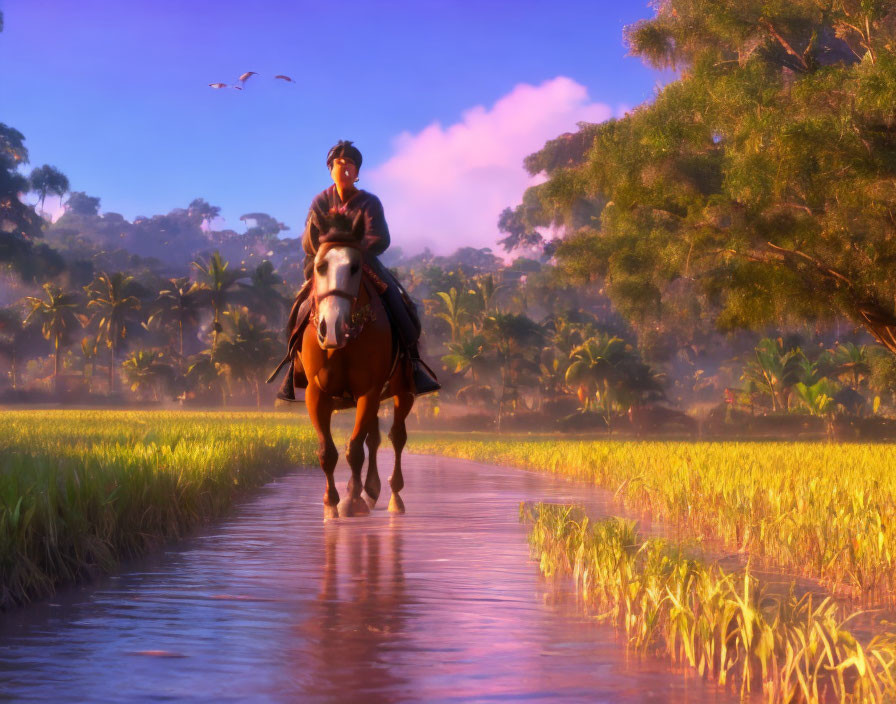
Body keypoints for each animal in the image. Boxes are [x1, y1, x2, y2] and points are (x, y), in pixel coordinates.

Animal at [298, 212, 416, 520]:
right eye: (320, 266)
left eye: (355, 267)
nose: (332, 328)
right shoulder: (316, 393)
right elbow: (328, 452)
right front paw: (331, 503)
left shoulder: (369, 390)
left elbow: (354, 450)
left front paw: (351, 502)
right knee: (373, 438)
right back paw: (369, 489)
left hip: (403, 391)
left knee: (396, 437)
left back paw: (392, 496)